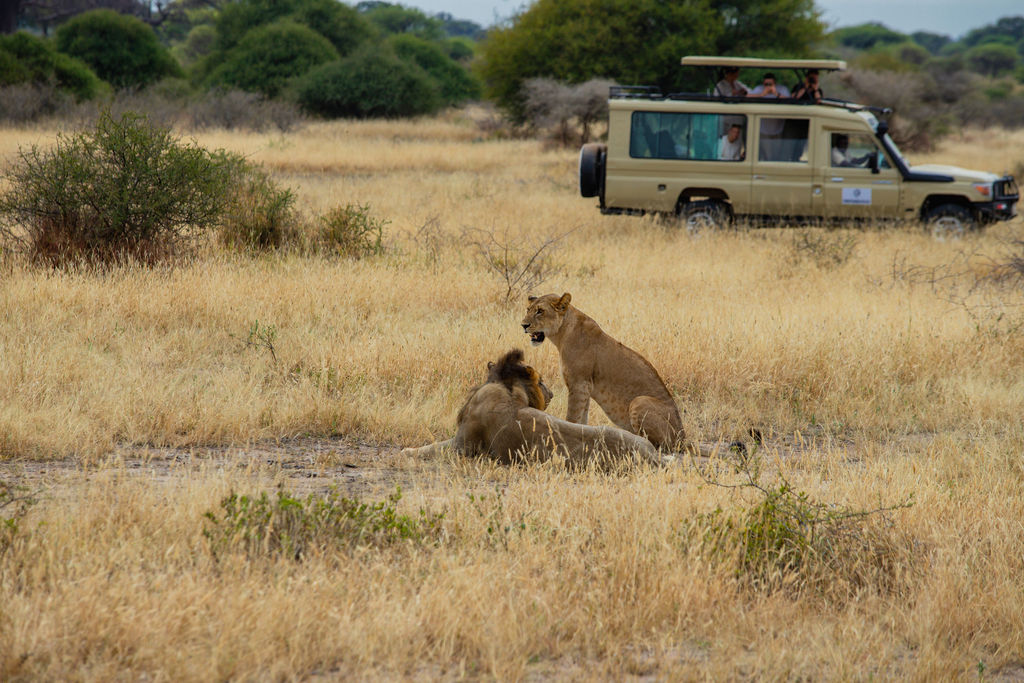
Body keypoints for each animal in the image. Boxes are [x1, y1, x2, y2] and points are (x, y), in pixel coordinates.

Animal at [400, 349, 666, 467]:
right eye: (541, 382)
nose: (551, 393)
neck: (507, 390)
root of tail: (653, 455)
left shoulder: (462, 445)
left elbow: (431, 448)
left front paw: (406, 451)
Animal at [521, 292, 685, 450]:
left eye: (540, 311)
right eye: (528, 309)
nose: (523, 325)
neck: (562, 334)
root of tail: (683, 437)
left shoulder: (578, 384)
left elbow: (572, 417)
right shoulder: (585, 387)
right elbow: (582, 418)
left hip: (640, 401)